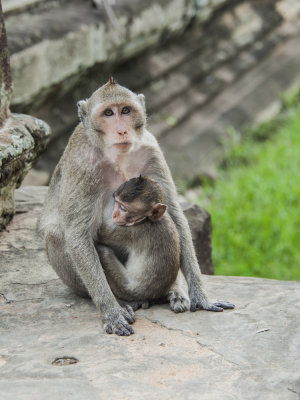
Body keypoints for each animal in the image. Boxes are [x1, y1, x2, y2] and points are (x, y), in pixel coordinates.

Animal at [99, 177, 183, 314]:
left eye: (123, 208)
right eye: (117, 202)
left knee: (103, 251)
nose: (114, 214)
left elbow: (100, 233)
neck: (146, 220)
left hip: (127, 289)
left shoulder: (128, 230)